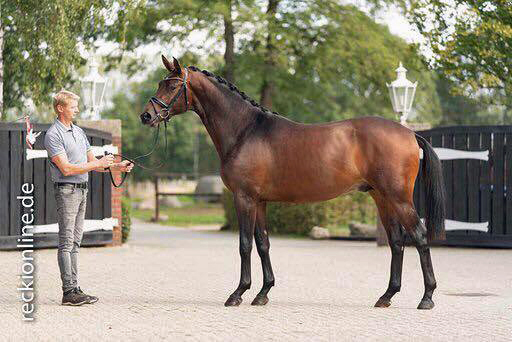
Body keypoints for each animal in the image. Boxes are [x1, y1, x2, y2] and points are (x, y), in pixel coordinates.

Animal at [139, 55, 444, 310]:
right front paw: (262, 293)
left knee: (419, 236)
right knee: (396, 241)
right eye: (160, 83)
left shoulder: (244, 197)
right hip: (381, 197)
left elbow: (244, 244)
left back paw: (427, 297)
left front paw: (238, 293)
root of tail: (409, 133)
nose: (146, 116)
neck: (245, 131)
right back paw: (386, 296)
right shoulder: (259, 201)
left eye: (172, 85)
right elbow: (262, 243)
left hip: (398, 198)